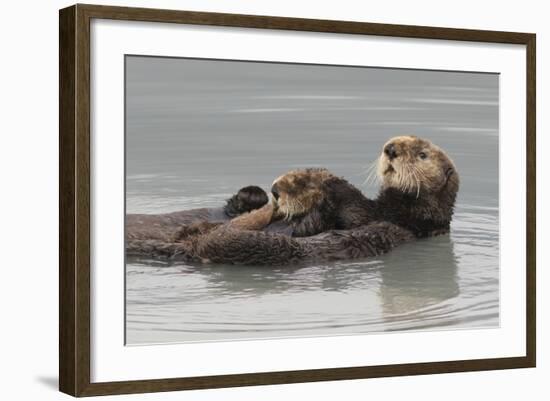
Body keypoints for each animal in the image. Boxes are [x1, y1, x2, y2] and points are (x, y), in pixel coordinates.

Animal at [126, 136, 462, 264]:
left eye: (422, 154)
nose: (390, 148)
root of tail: (192, 247)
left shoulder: (390, 216)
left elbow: (352, 211)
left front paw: (321, 182)